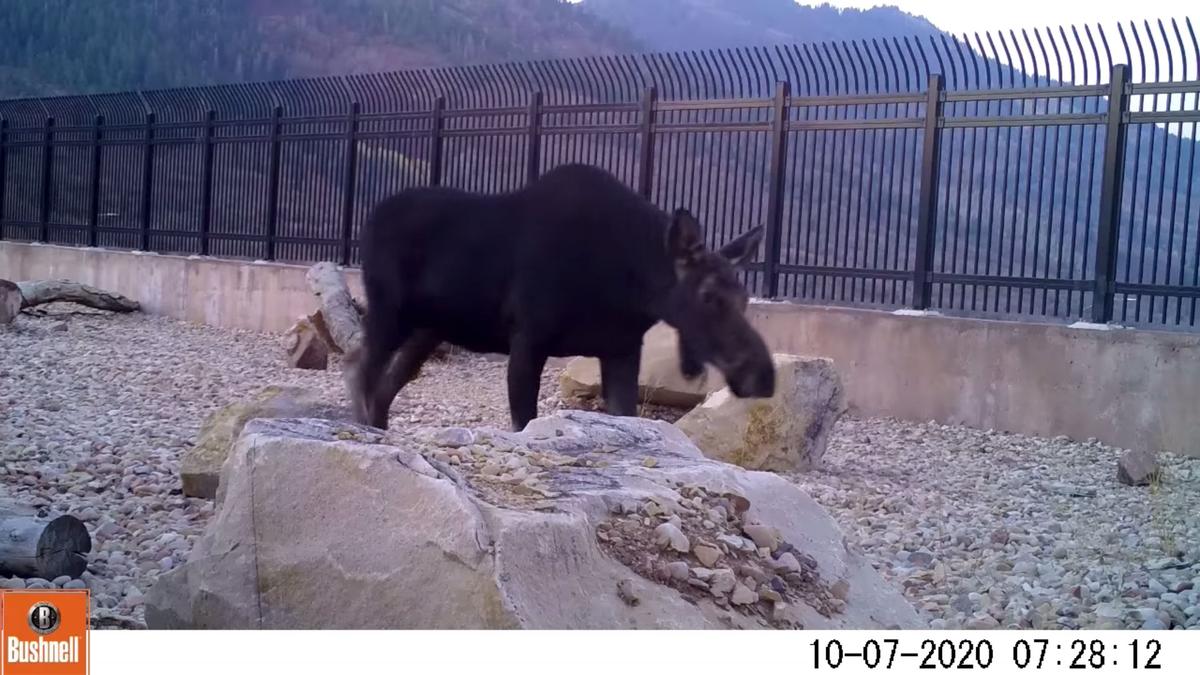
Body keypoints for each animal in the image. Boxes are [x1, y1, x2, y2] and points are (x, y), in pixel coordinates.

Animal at [348, 159, 777, 427]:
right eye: (708, 296)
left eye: (744, 298)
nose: (763, 376)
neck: (632, 285)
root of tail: (369, 220)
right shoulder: (528, 338)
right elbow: (523, 422)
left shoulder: (621, 350)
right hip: (389, 310)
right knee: (360, 367)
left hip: (428, 328)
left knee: (384, 385)